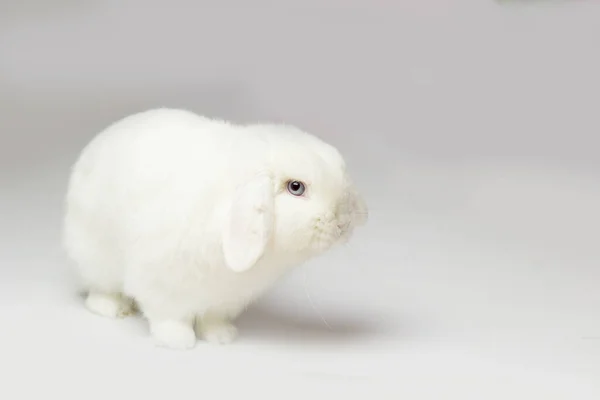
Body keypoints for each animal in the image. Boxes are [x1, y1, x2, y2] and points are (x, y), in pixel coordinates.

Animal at [63, 108, 368, 348]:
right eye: (296, 187)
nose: (343, 223)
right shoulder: (160, 284)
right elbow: (169, 317)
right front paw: (178, 341)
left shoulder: (223, 299)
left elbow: (212, 319)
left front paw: (222, 337)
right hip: (95, 258)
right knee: (99, 290)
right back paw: (112, 308)